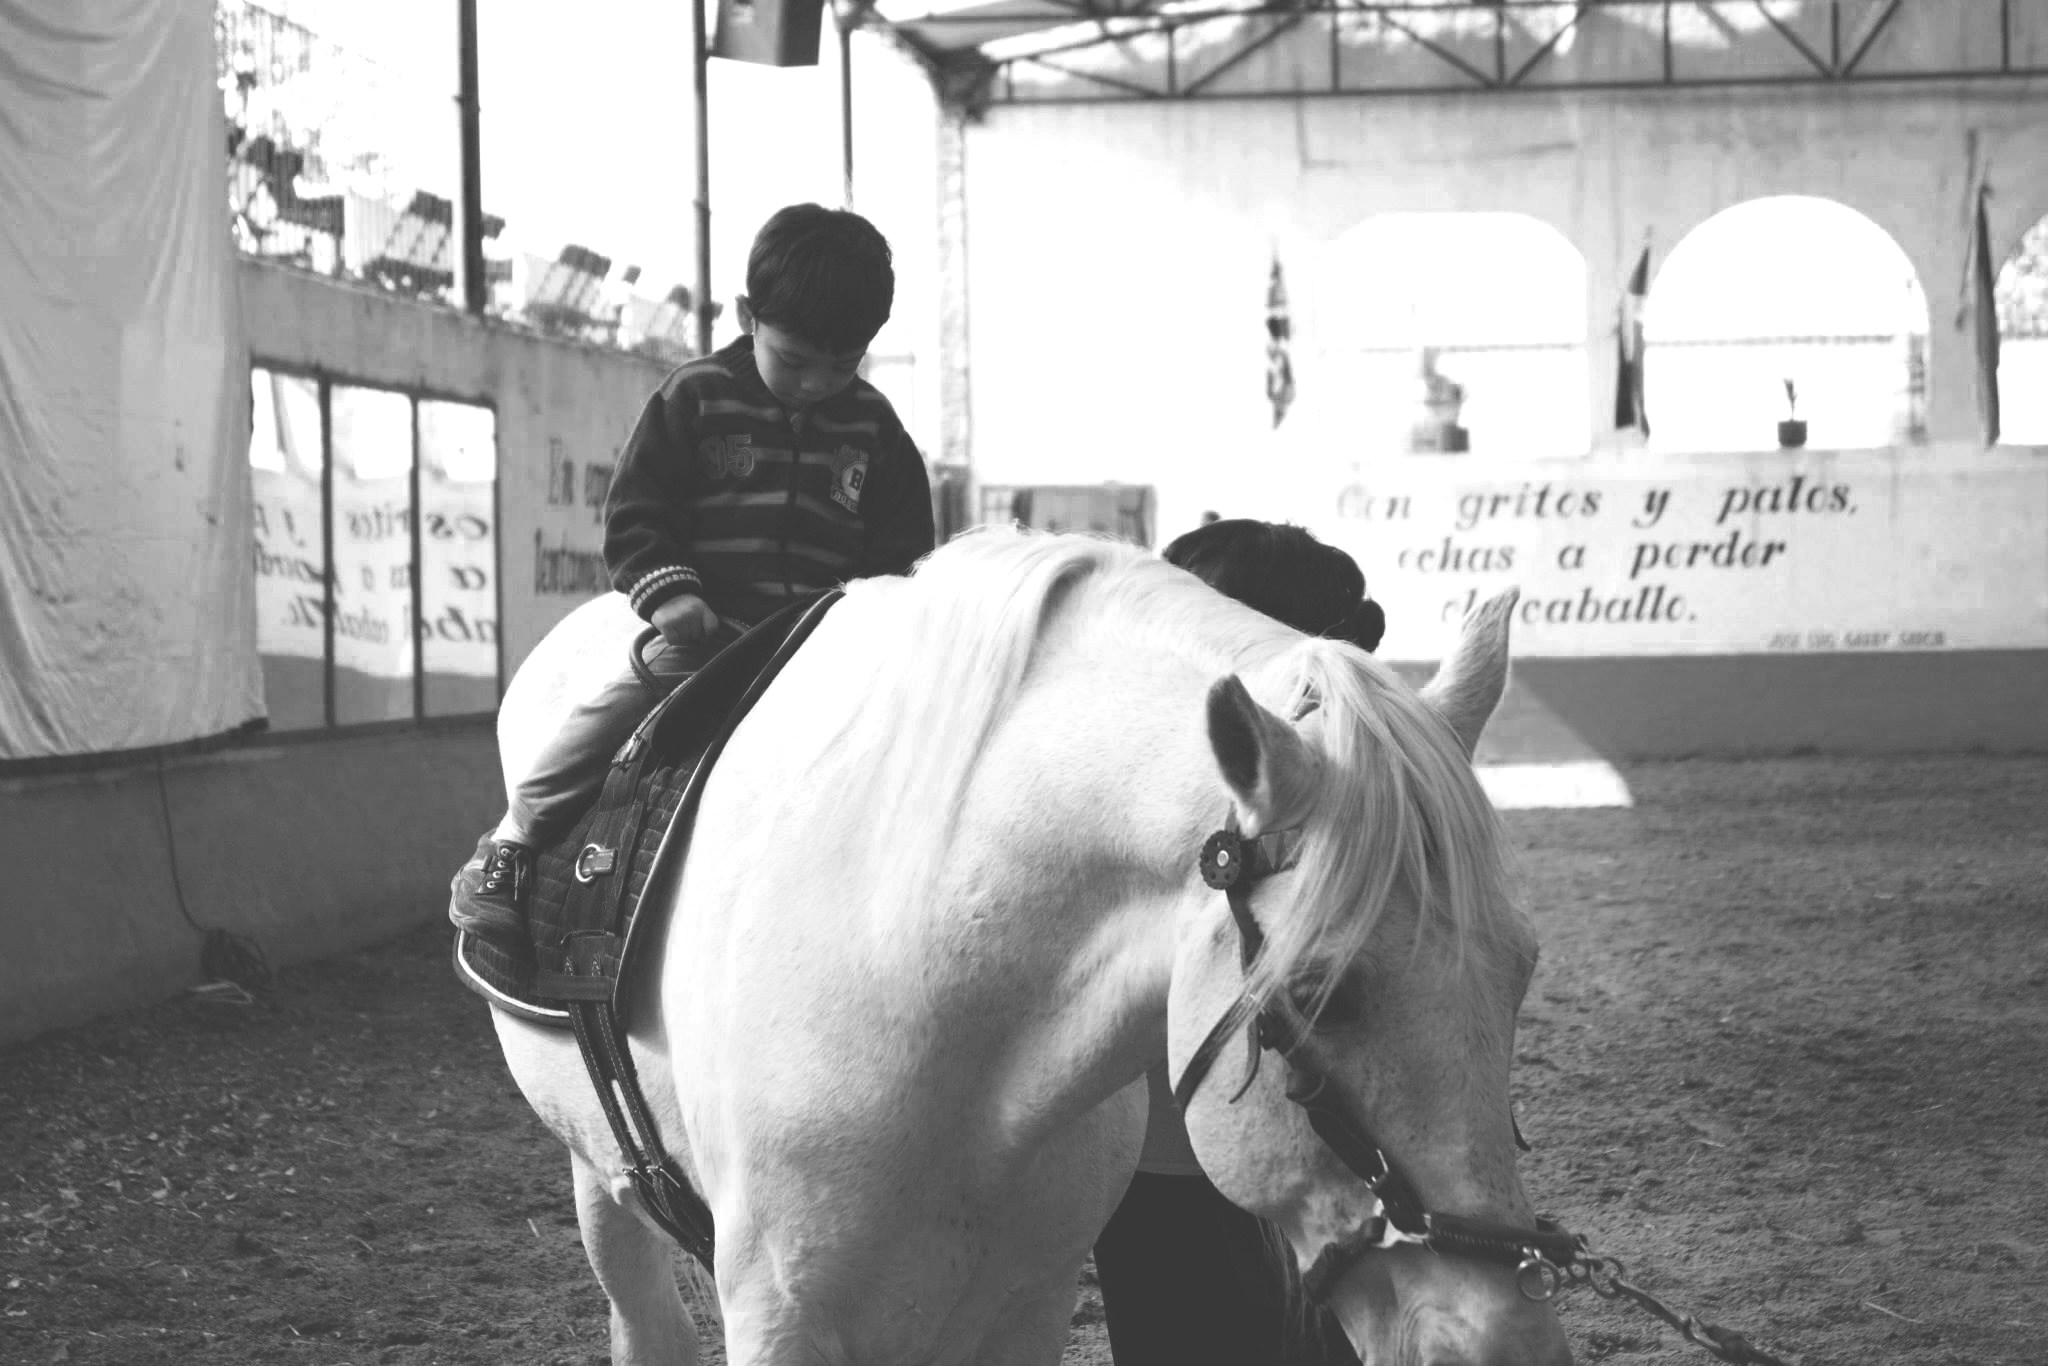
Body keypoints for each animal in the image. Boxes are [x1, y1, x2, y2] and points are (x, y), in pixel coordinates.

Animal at [490, 527, 1570, 1366]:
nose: (1501, 1344)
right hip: (597, 1172)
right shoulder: (779, 1312)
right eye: (1320, 992)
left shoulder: (1023, 1303)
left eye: (1520, 972)